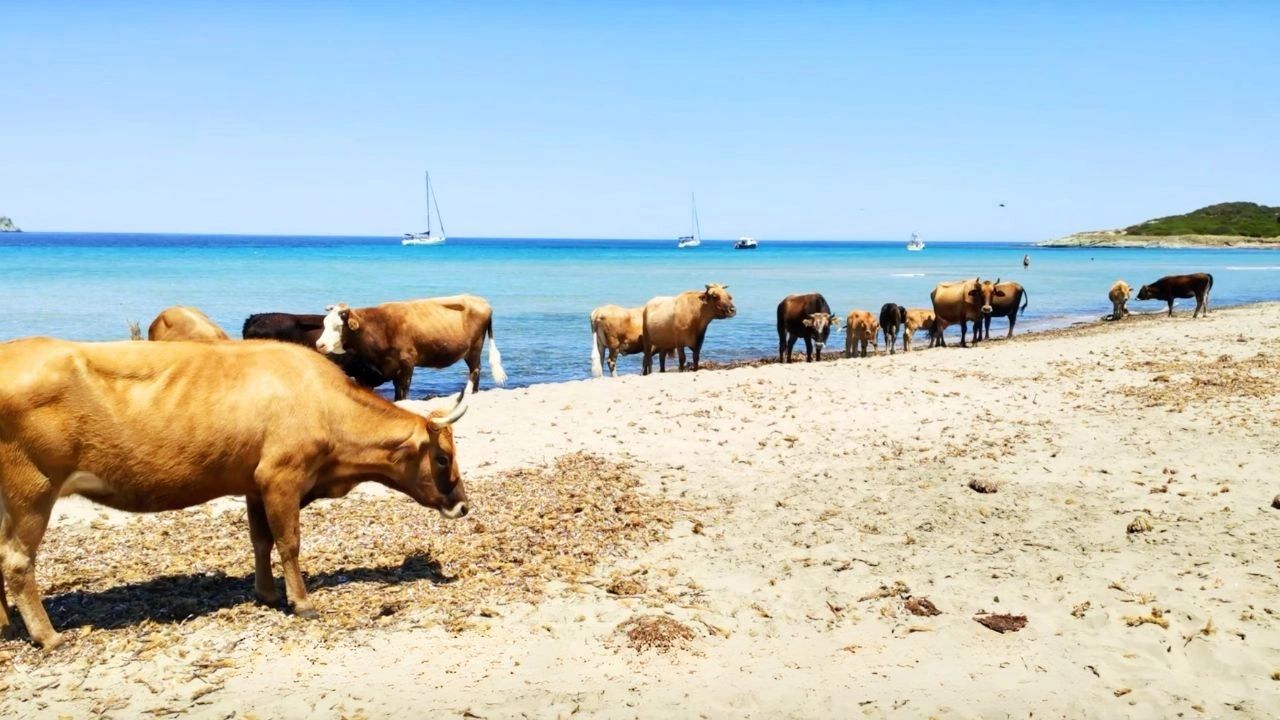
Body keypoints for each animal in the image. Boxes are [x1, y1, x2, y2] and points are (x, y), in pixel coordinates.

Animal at [0, 335, 473, 645]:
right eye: (443, 458)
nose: (464, 506)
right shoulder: (281, 476)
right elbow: (288, 542)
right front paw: (301, 602)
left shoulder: (254, 484)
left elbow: (260, 539)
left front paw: (266, 593)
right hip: (33, 489)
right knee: (17, 561)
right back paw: (48, 635)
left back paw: (8, 625)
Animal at [314, 294, 504, 399]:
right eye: (324, 323)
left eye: (338, 326)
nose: (319, 344)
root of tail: (482, 301)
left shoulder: (407, 362)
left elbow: (403, 392)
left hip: (474, 348)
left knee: (475, 370)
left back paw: (469, 391)